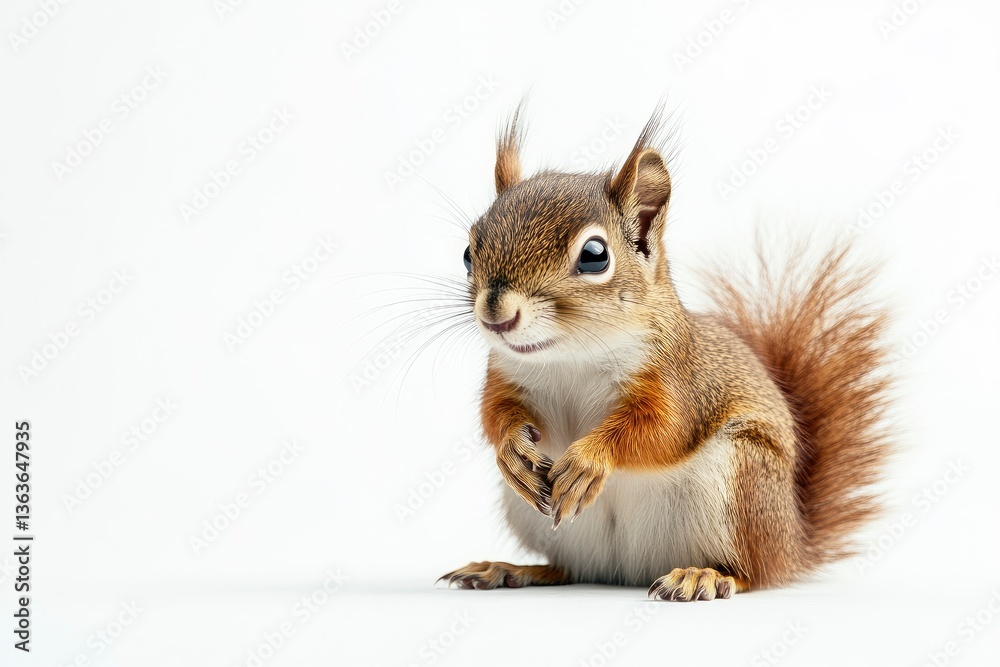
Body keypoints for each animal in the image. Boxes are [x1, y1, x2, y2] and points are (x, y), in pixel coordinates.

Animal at [438, 107, 893, 601]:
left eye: (595, 256)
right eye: (468, 252)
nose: (496, 314)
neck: (570, 356)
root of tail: (792, 541)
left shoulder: (677, 380)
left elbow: (663, 430)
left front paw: (588, 461)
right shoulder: (505, 376)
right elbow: (494, 414)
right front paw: (511, 453)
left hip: (742, 483)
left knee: (752, 571)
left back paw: (703, 575)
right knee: (567, 568)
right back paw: (509, 568)